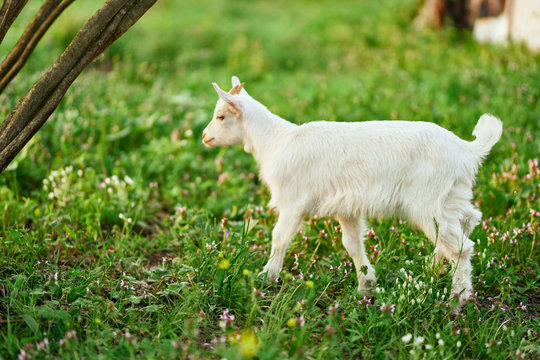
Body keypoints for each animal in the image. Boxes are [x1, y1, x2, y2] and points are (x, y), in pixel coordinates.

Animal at [202, 75, 502, 304]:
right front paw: (365, 286)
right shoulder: (347, 207)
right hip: (452, 196)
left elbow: (280, 237)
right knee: (469, 221)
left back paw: (457, 297)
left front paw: (267, 276)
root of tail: (467, 150)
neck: (276, 141)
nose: (205, 137)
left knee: (462, 247)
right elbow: (353, 244)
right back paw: (435, 266)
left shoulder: (292, 201)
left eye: (221, 116)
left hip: (428, 203)